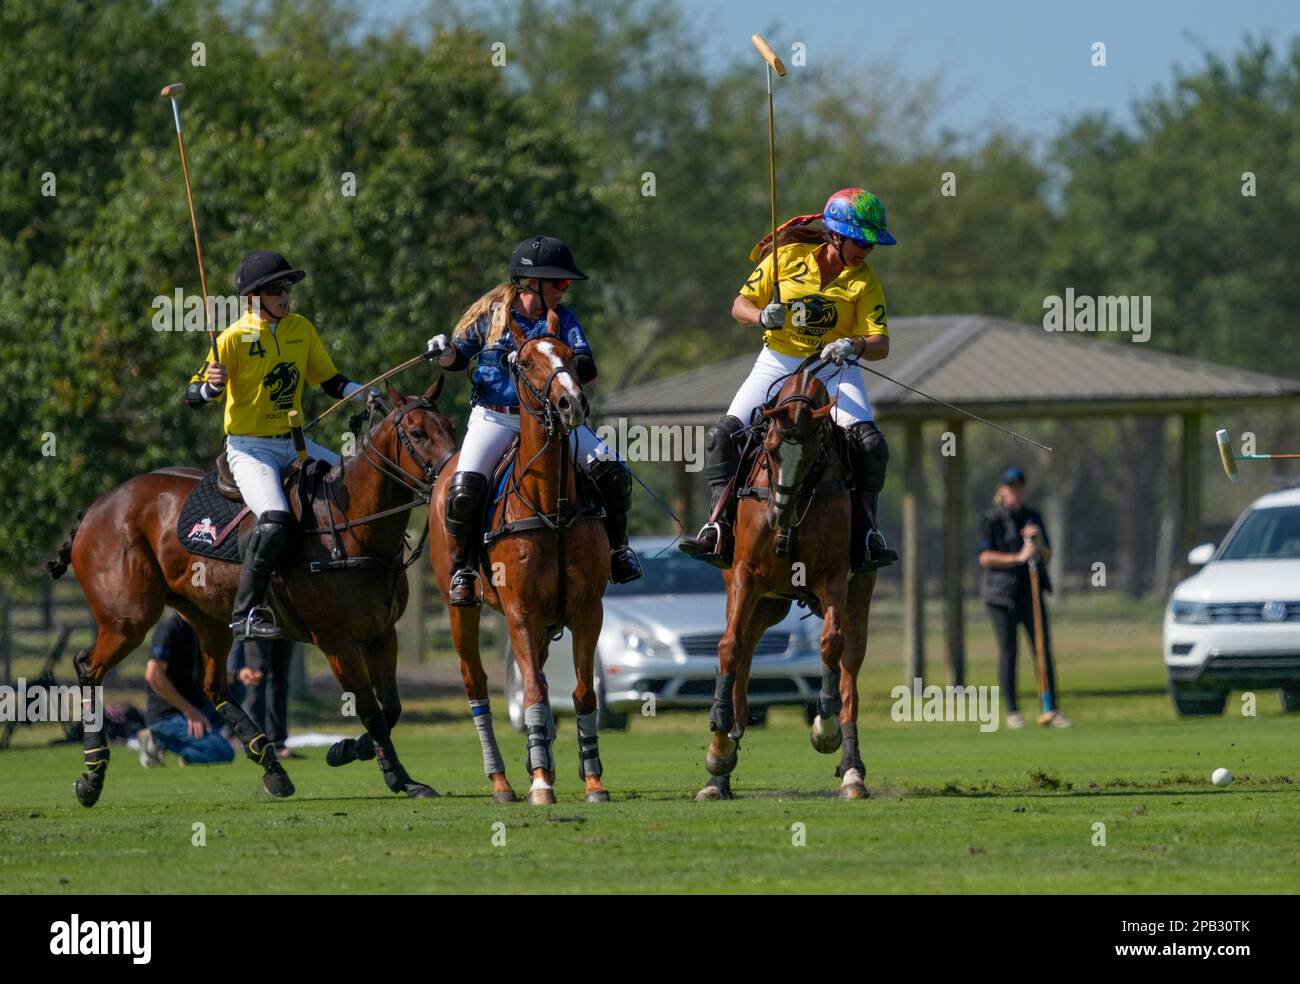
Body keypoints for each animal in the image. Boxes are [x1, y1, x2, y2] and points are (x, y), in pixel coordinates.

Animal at [43, 376, 460, 805]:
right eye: (416, 433)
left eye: (451, 425)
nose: (452, 480)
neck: (351, 528)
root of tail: (93, 509)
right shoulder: (337, 643)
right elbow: (371, 710)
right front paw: (387, 772)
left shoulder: (382, 634)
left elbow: (390, 708)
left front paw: (358, 756)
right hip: (128, 618)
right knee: (88, 665)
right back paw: (91, 776)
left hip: (205, 616)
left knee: (214, 687)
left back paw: (271, 765)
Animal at [426, 314, 608, 805]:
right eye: (524, 362)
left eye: (570, 356)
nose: (571, 404)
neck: (552, 507)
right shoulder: (520, 611)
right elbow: (532, 692)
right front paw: (542, 782)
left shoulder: (588, 610)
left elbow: (581, 693)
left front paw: (592, 780)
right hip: (461, 608)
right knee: (477, 684)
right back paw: (503, 781)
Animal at [696, 361, 878, 800]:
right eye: (771, 447)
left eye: (813, 454)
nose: (779, 514)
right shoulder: (744, 574)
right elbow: (728, 646)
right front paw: (718, 750)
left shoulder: (834, 578)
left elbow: (830, 645)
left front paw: (824, 730)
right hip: (763, 601)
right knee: (744, 652)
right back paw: (721, 769)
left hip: (854, 597)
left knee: (850, 674)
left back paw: (852, 772)